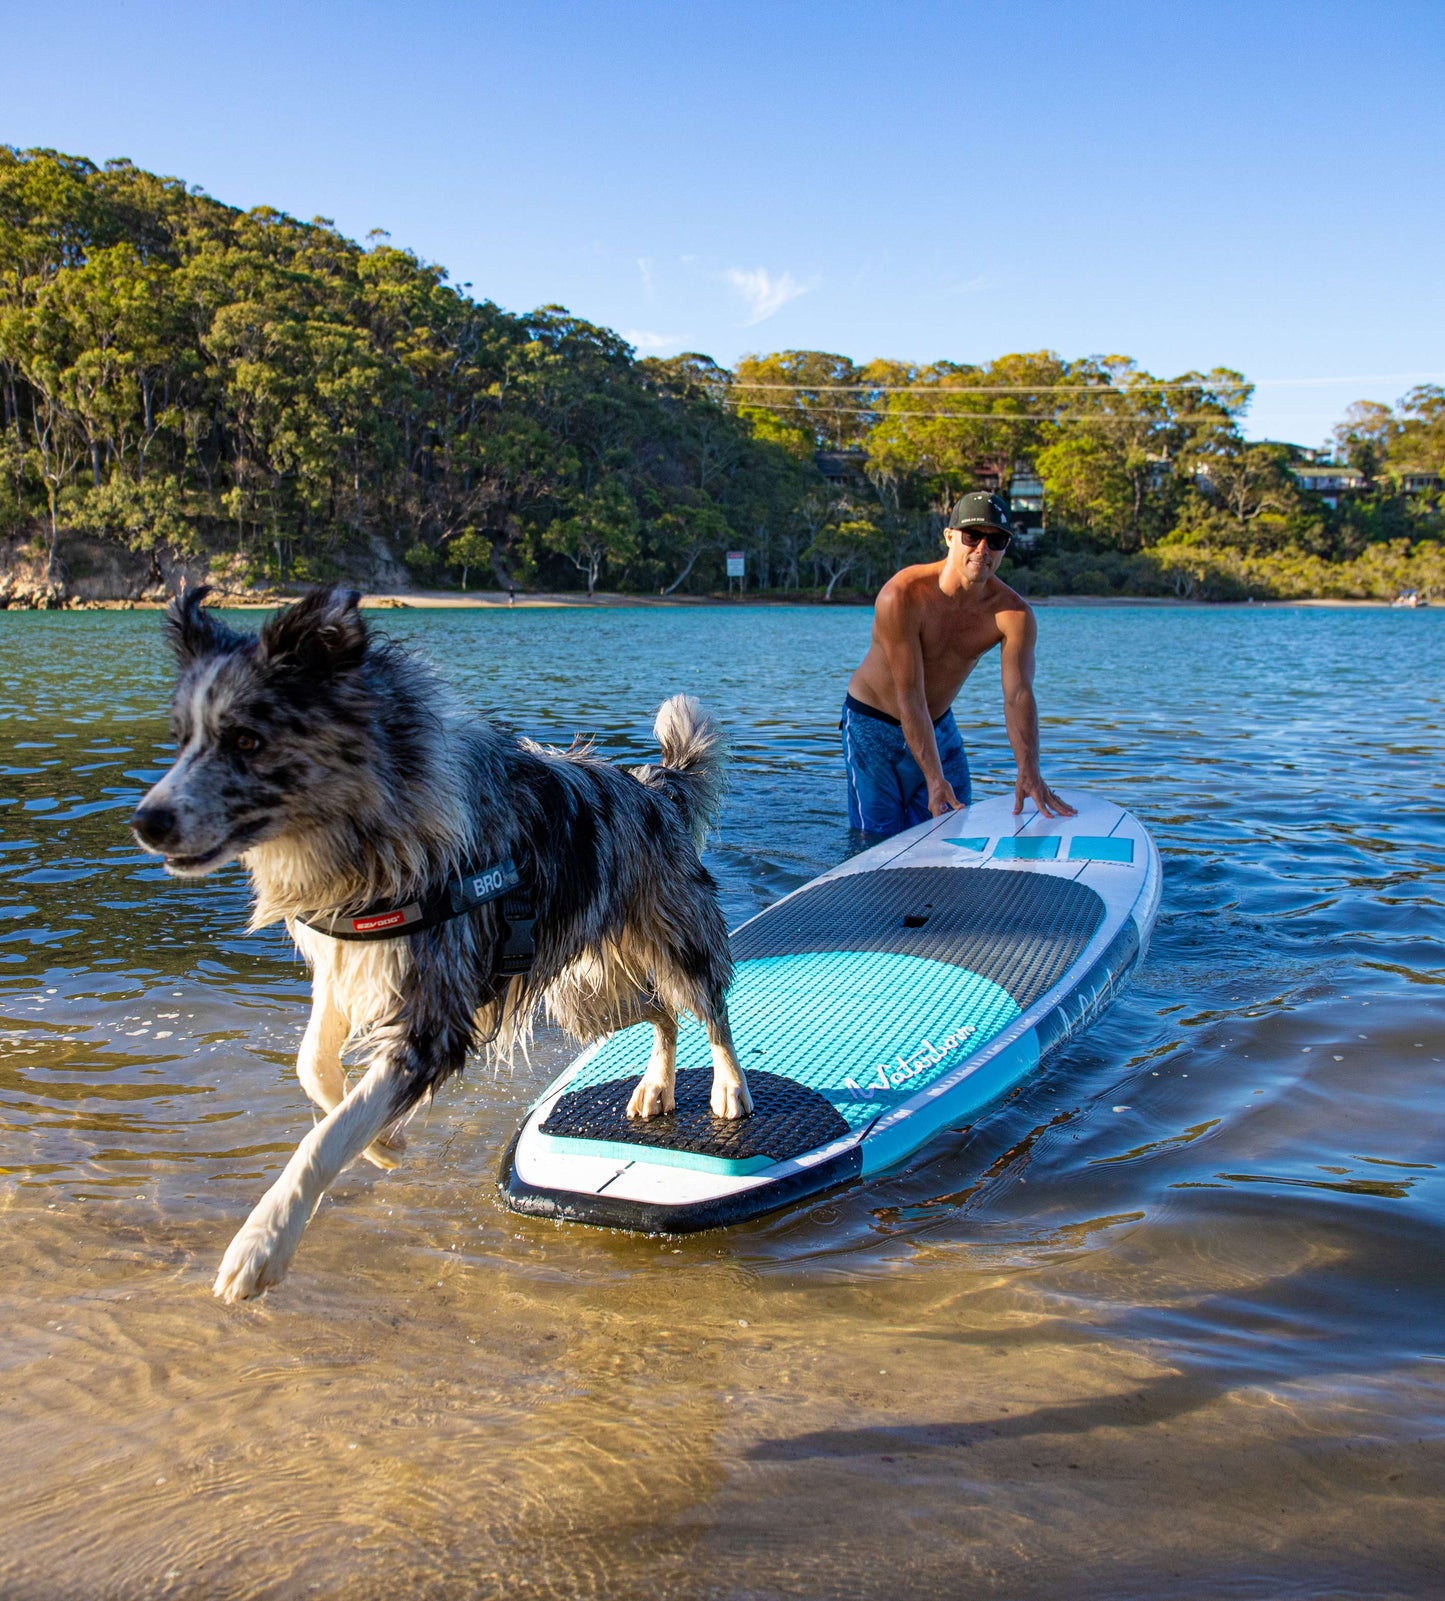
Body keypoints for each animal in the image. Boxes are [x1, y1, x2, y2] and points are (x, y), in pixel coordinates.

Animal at [129, 585, 752, 1300]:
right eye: (182, 739)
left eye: (247, 739)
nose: (146, 822)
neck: (362, 839)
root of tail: (656, 788)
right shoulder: (352, 964)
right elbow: (315, 1070)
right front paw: (384, 1144)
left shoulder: (436, 1019)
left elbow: (325, 1137)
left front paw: (262, 1245)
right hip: (583, 994)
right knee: (660, 1015)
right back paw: (654, 1086)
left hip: (674, 948)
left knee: (709, 1009)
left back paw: (729, 1090)